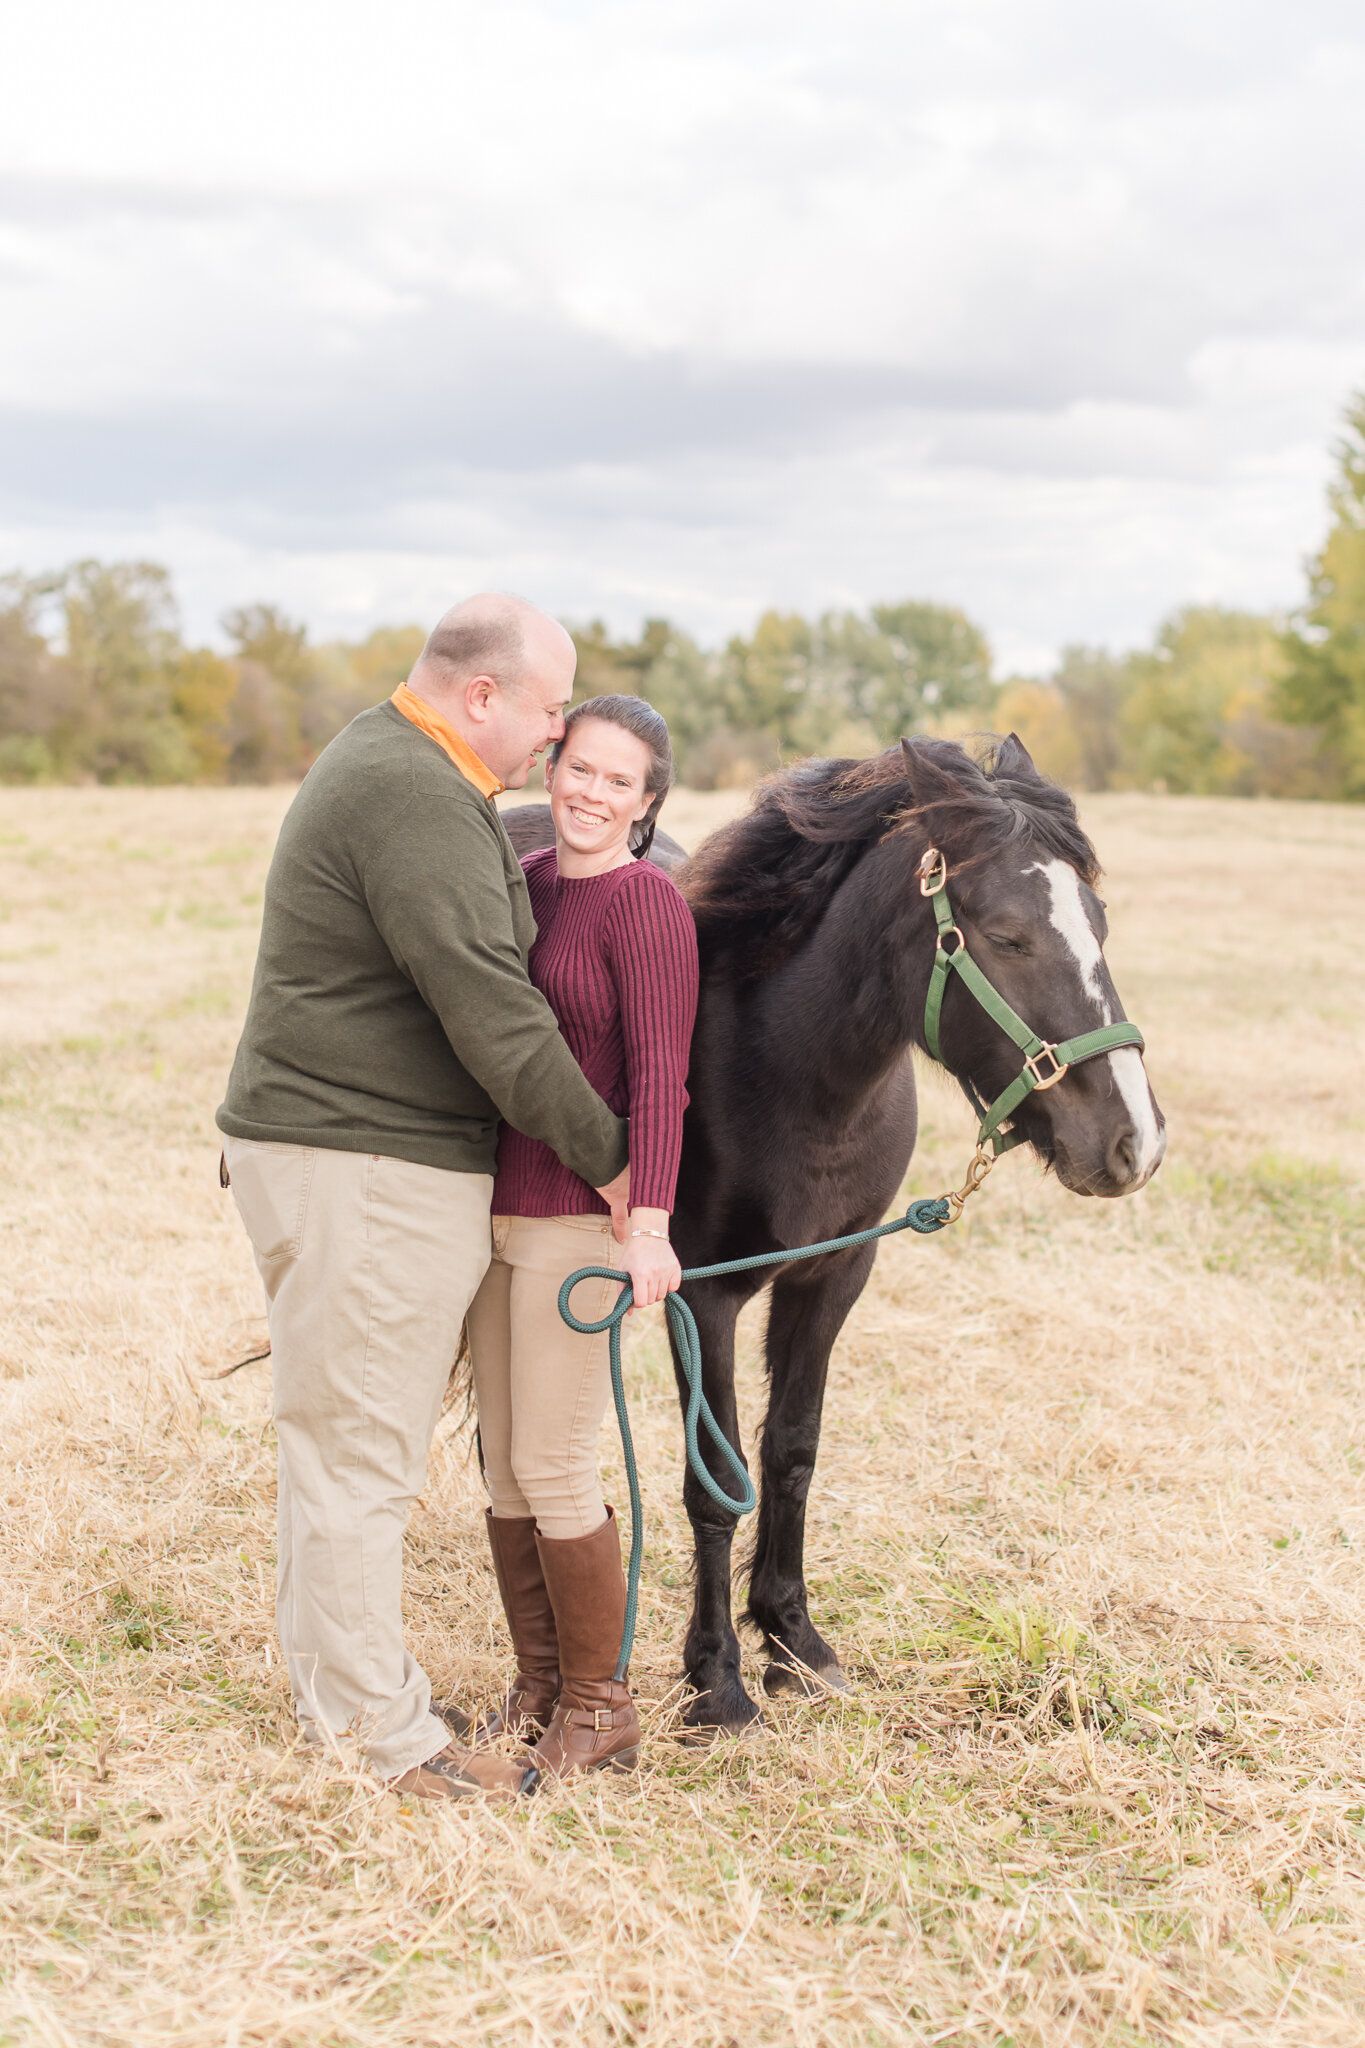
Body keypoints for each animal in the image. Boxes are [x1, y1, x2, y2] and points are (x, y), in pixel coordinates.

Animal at [501, 737, 1162, 1728]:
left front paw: (792, 1639)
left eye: (1100, 924)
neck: (787, 1077)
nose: (1134, 1142)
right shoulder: (703, 1294)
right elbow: (714, 1477)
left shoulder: (834, 1273)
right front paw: (716, 1676)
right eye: (1008, 935)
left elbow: (790, 1453)